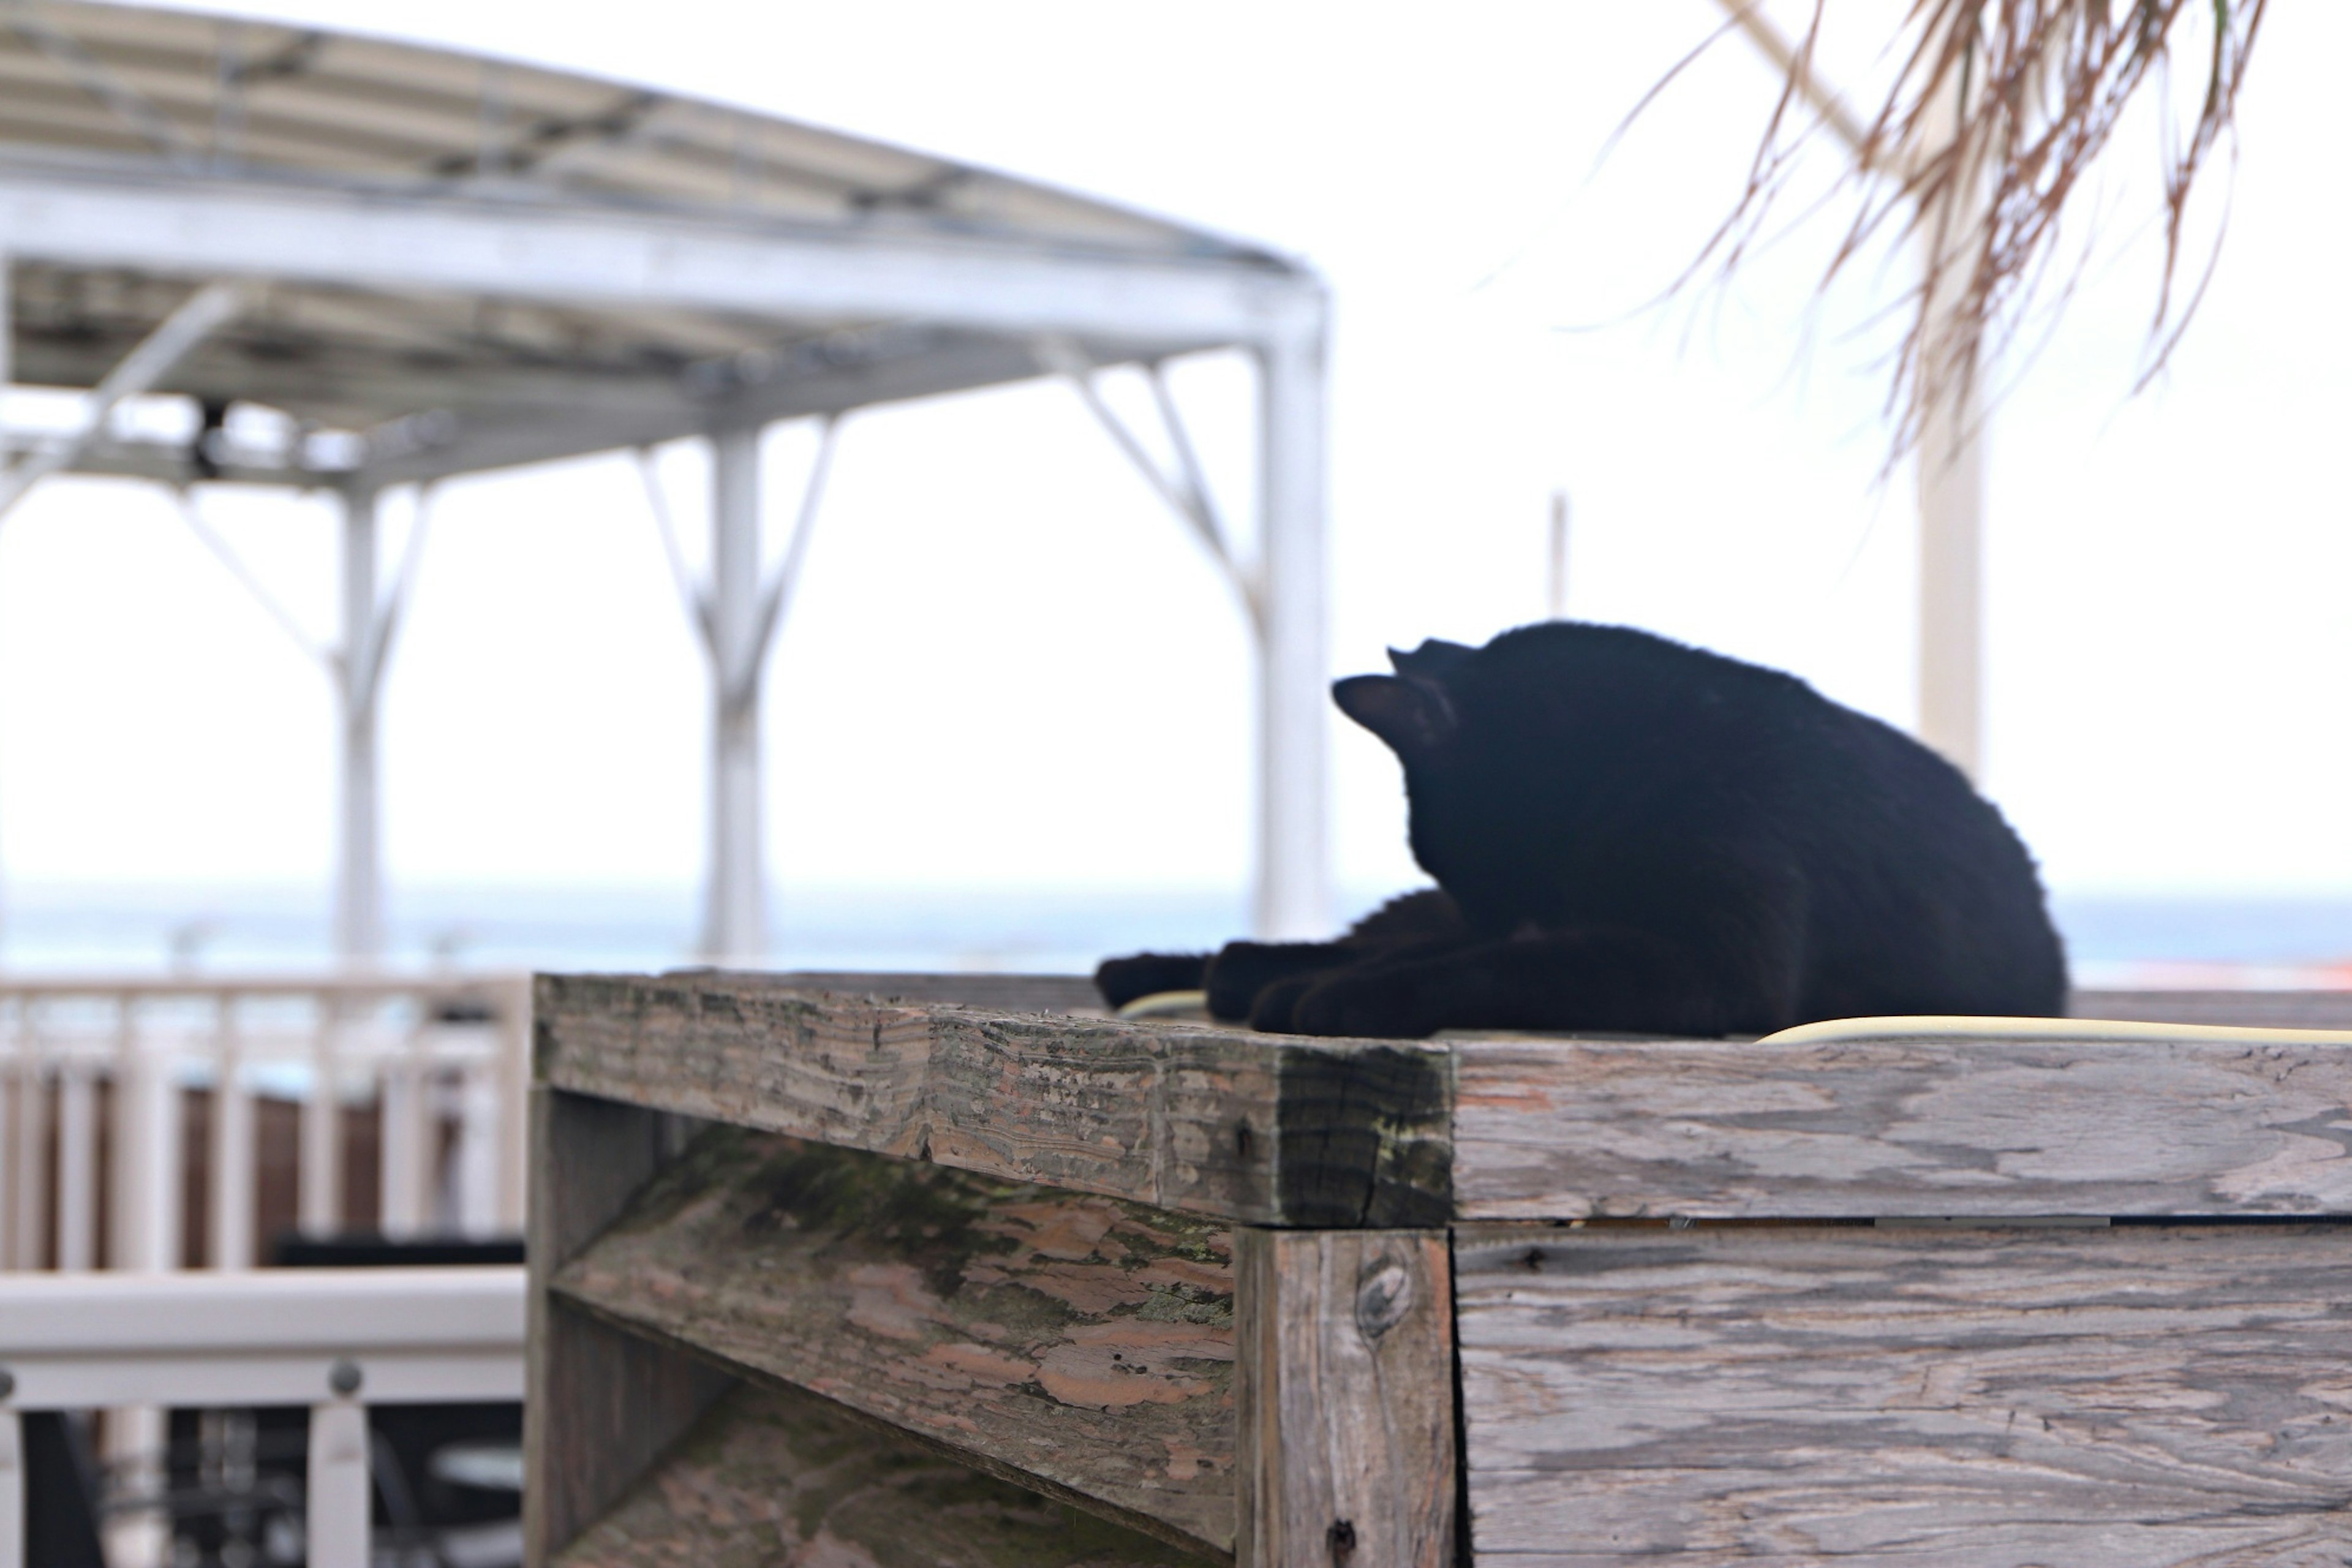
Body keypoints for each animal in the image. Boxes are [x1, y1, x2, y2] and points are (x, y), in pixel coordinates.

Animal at [1091, 620, 2070, 1034]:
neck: (1645, 757)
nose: (1487, 906)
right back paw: (1166, 968)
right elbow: (1465, 953)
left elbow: (1500, 966)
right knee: (1363, 935)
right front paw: (1299, 983)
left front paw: (1342, 999)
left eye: (1444, 849)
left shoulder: (1710, 965)